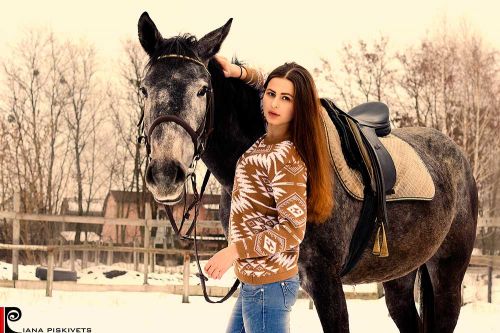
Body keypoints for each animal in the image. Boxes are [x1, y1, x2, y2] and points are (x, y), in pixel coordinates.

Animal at [136, 11, 476, 330]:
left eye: (203, 90)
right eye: (144, 90)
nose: (166, 174)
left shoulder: (325, 282)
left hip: (447, 274)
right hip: (399, 276)